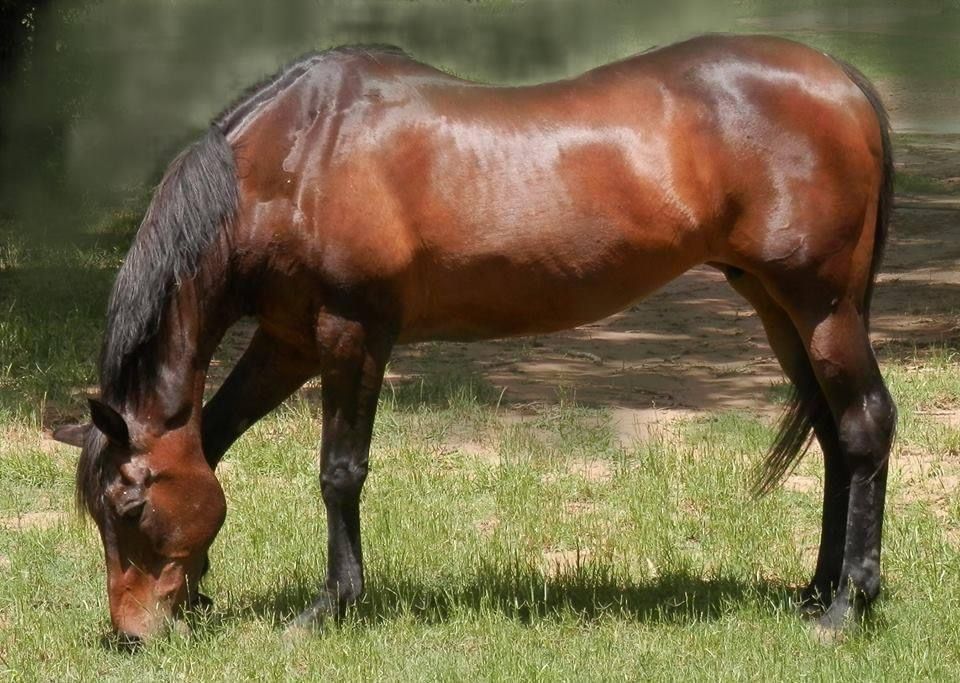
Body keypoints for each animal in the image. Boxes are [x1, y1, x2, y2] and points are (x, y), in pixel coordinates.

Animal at [53, 34, 896, 644]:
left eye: (128, 506)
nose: (131, 633)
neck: (296, 158)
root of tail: (842, 80)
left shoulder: (352, 331)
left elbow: (339, 471)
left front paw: (333, 605)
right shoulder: (286, 339)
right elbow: (217, 439)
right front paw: (202, 592)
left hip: (821, 306)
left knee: (865, 425)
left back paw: (845, 607)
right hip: (775, 304)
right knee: (831, 433)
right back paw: (815, 588)